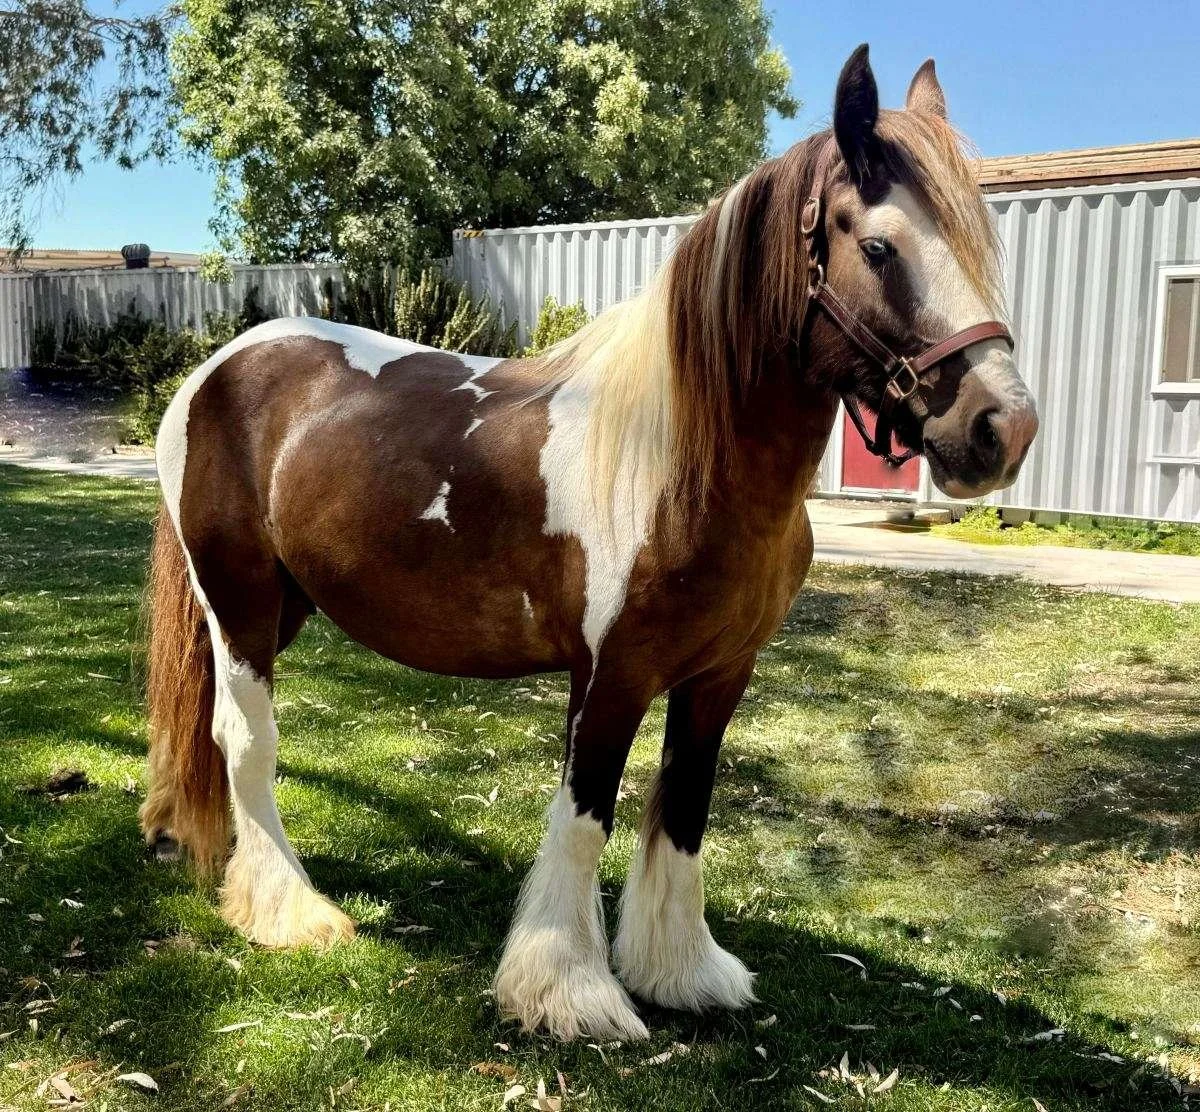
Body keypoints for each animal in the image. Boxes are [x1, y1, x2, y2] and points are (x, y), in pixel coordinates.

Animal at [140, 44, 1038, 1042]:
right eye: (879, 248)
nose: (1002, 428)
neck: (681, 462)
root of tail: (215, 370)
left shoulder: (718, 677)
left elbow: (683, 809)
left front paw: (682, 972)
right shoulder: (610, 677)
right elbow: (586, 815)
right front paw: (569, 989)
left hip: (285, 607)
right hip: (241, 606)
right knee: (245, 740)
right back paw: (290, 911)